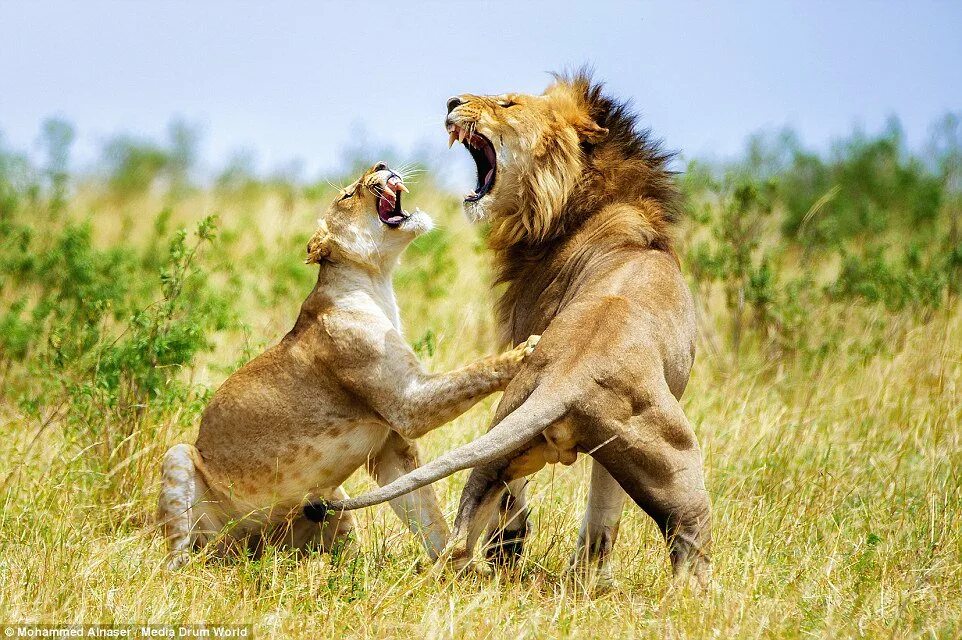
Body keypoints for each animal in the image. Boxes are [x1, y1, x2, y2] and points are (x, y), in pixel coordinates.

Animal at [154, 161, 536, 568]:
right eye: (348, 194)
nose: (381, 164)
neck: (376, 281)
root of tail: (246, 553)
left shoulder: (390, 446)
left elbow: (424, 510)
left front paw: (456, 567)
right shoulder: (406, 404)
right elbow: (472, 372)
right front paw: (525, 350)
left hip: (330, 501)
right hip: (180, 458)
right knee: (182, 550)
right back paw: (185, 568)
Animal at [312, 74, 708, 584]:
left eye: (507, 104)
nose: (452, 101)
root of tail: (572, 377)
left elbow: (602, 512)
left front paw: (589, 581)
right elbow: (600, 508)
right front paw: (582, 576)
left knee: (464, 538)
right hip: (679, 470)